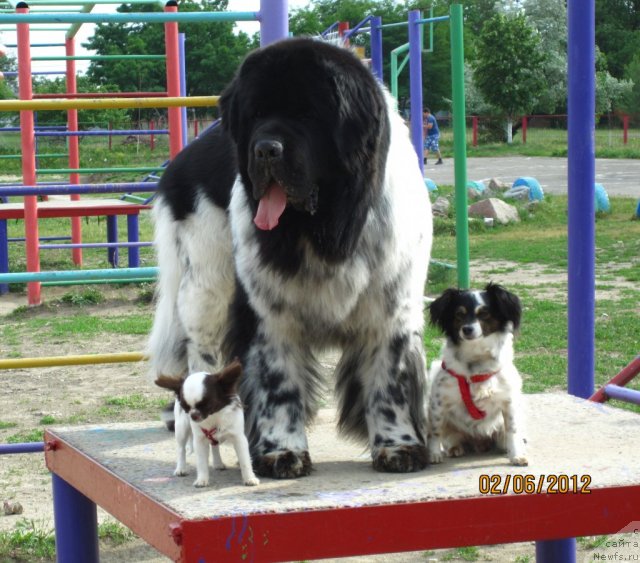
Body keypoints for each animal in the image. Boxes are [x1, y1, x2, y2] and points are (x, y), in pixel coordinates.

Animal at [148, 37, 432, 480]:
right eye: (255, 115)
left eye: (308, 114)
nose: (265, 149)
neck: (323, 229)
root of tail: (182, 158)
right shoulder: (268, 314)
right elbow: (277, 382)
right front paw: (281, 452)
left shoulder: (391, 307)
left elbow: (390, 380)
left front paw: (398, 445)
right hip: (206, 288)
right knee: (200, 353)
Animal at [428, 284, 528, 464]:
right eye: (459, 314)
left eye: (484, 313)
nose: (467, 329)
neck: (476, 360)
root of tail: (480, 444)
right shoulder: (438, 402)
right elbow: (435, 431)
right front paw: (434, 454)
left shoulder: (509, 401)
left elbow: (512, 430)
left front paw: (516, 455)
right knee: (452, 437)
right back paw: (455, 448)